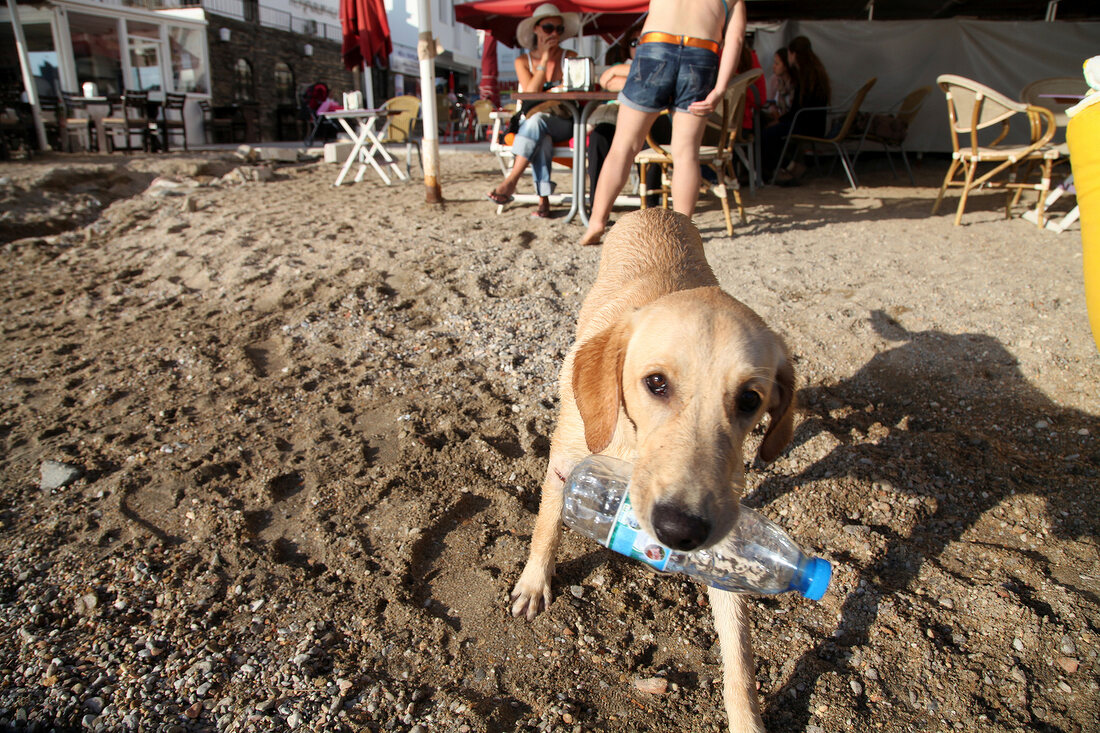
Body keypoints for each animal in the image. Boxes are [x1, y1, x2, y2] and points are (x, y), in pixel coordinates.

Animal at [510, 208, 796, 726]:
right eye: (656, 383)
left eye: (750, 400)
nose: (681, 530)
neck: (635, 448)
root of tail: (657, 208)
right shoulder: (564, 462)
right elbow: (547, 525)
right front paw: (534, 582)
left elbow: (739, 653)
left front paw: (746, 718)